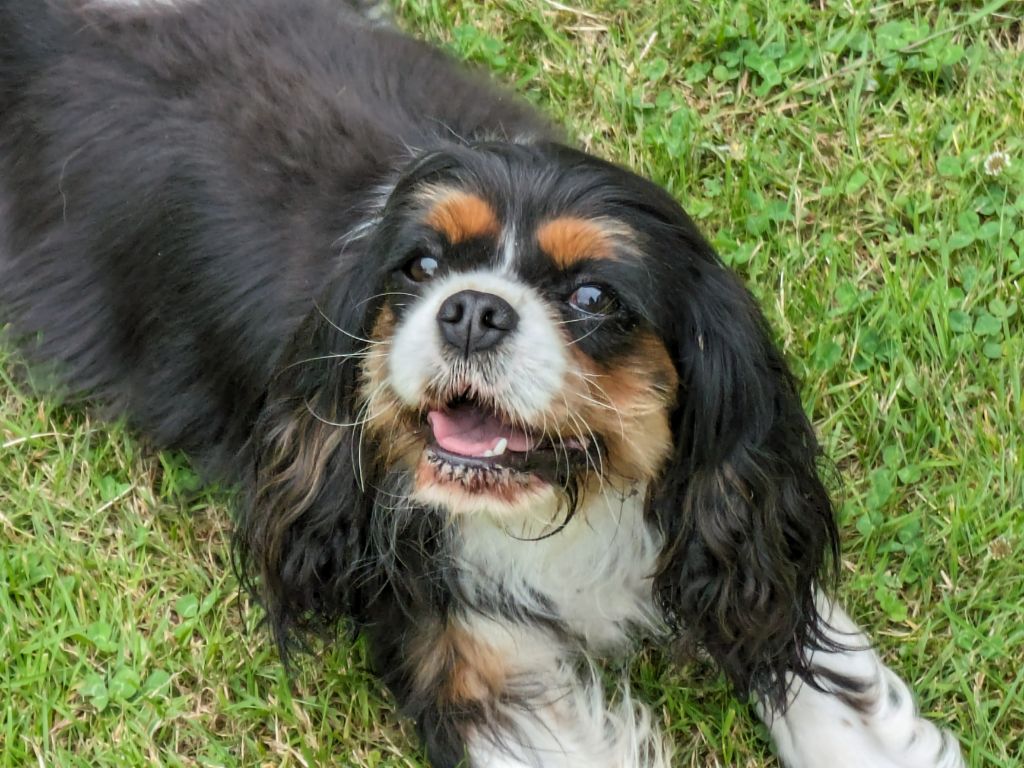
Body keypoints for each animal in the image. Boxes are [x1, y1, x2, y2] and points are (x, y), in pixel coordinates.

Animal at [0, 1, 962, 768]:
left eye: (593, 296)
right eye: (421, 266)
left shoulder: (735, 546)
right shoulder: (463, 646)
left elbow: (812, 667)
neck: (566, 503)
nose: (470, 309)